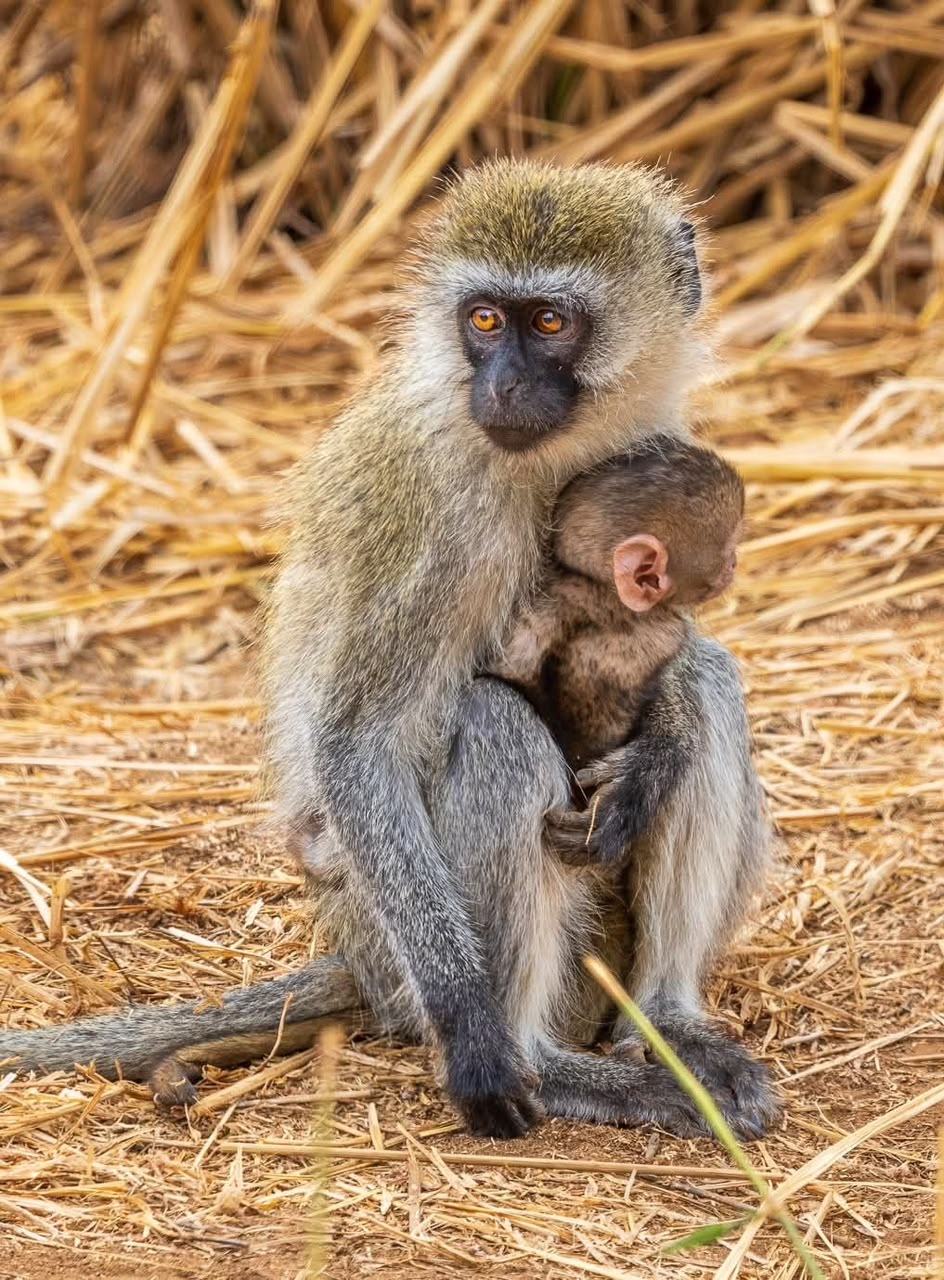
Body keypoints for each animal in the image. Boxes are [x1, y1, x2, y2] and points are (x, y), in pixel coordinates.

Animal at [0, 160, 777, 1139]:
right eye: (484, 322)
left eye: (548, 323)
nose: (504, 389)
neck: (537, 459)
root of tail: (358, 960)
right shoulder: (438, 524)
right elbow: (359, 742)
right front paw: (477, 1034)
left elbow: (679, 657)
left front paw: (655, 757)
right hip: (393, 941)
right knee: (492, 722)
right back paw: (548, 1063)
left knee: (710, 682)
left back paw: (670, 1024)